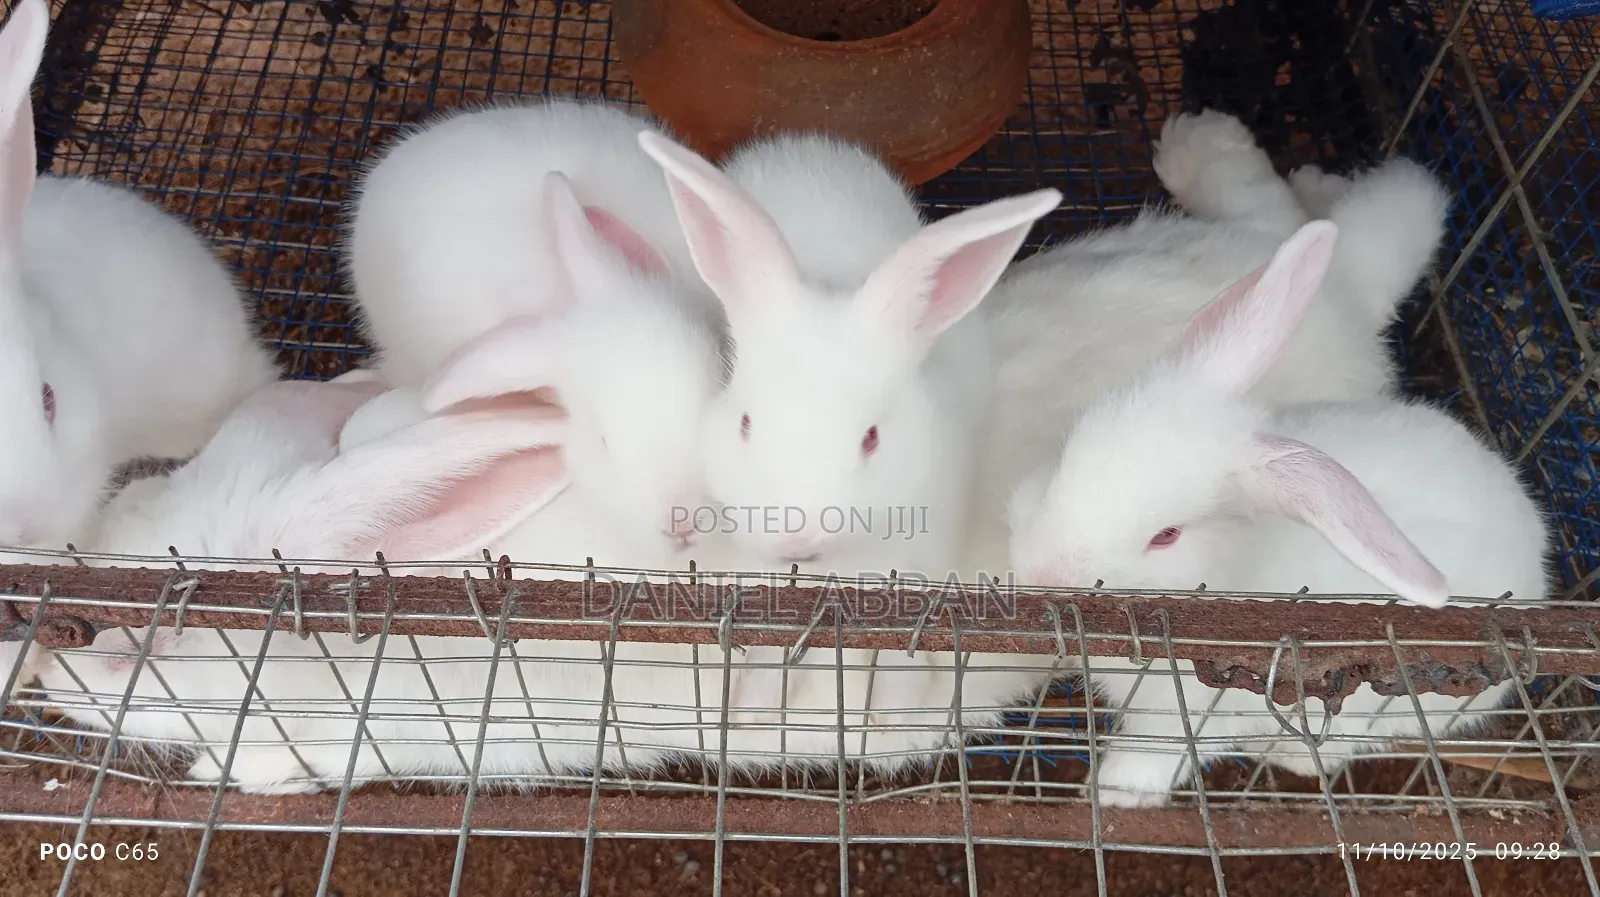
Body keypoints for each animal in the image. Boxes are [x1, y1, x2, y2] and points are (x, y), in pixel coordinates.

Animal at [1005, 220, 1551, 808]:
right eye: (1067, 454)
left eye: (1166, 535)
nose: (1043, 574)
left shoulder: (1198, 707)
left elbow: (1156, 750)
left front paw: (1115, 794)